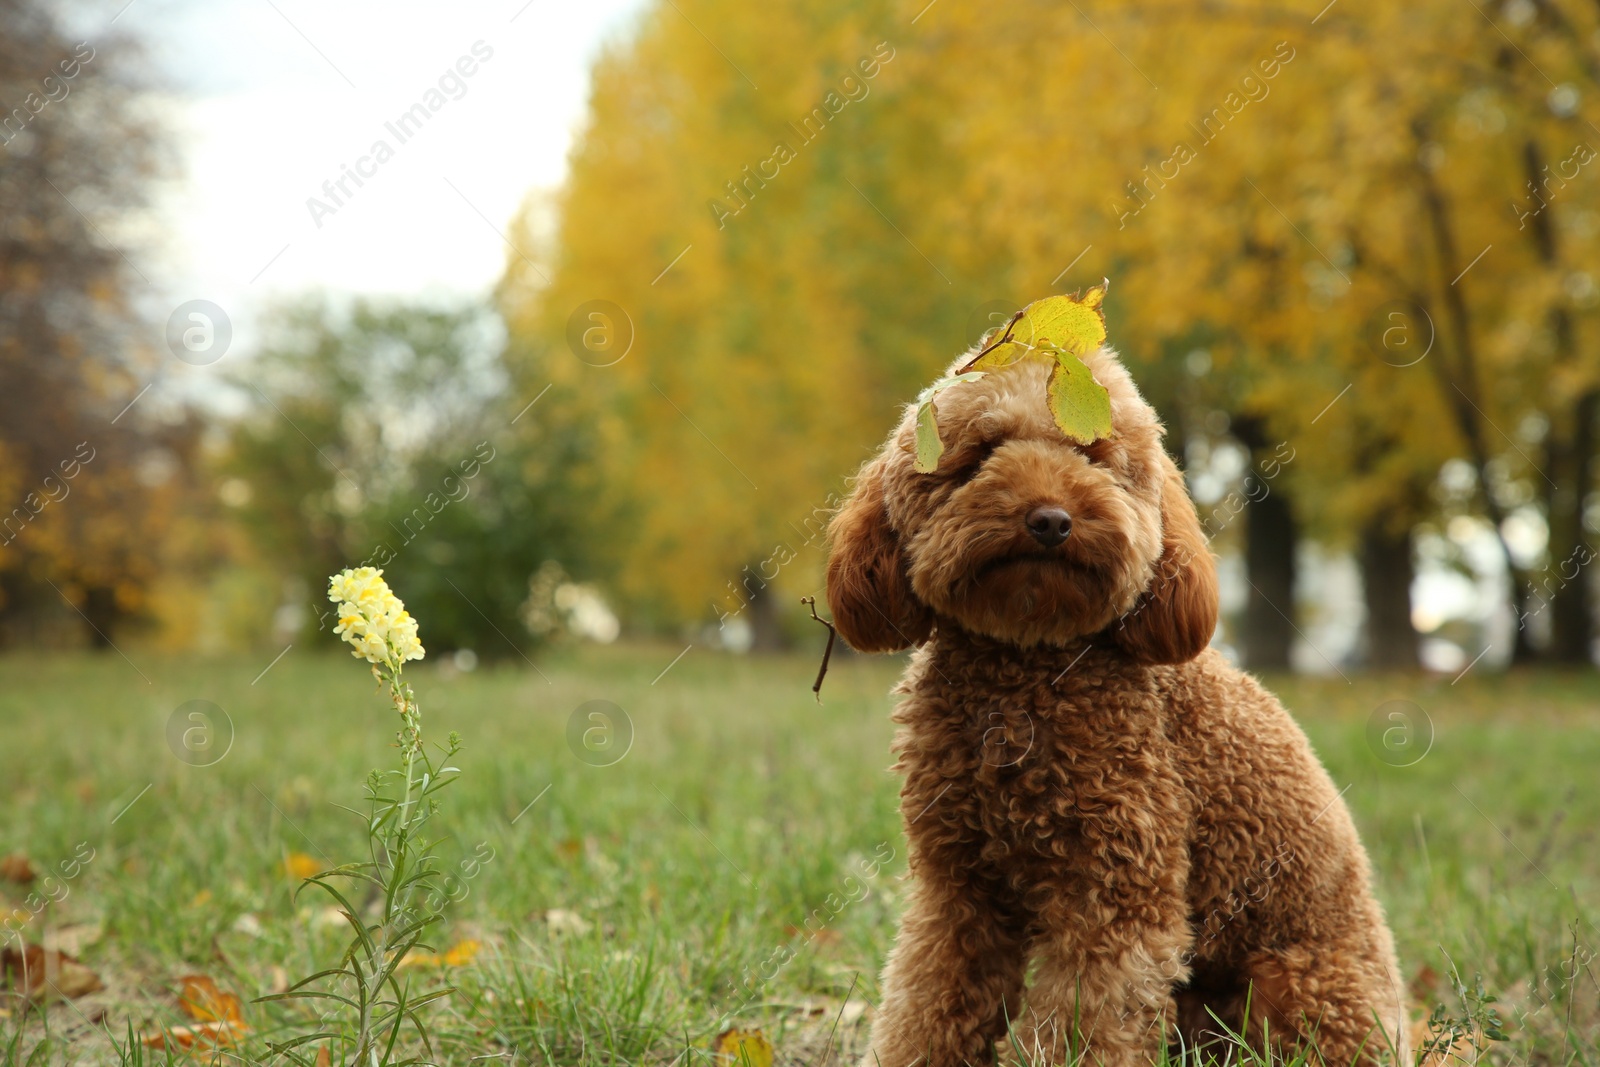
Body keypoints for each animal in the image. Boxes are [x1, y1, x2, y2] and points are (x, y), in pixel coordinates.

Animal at [832, 350, 1408, 1067]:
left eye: (1097, 455)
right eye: (984, 450)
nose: (1051, 520)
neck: (1027, 670)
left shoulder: (1116, 895)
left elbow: (1082, 1025)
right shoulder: (959, 889)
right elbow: (927, 1001)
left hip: (1293, 987)